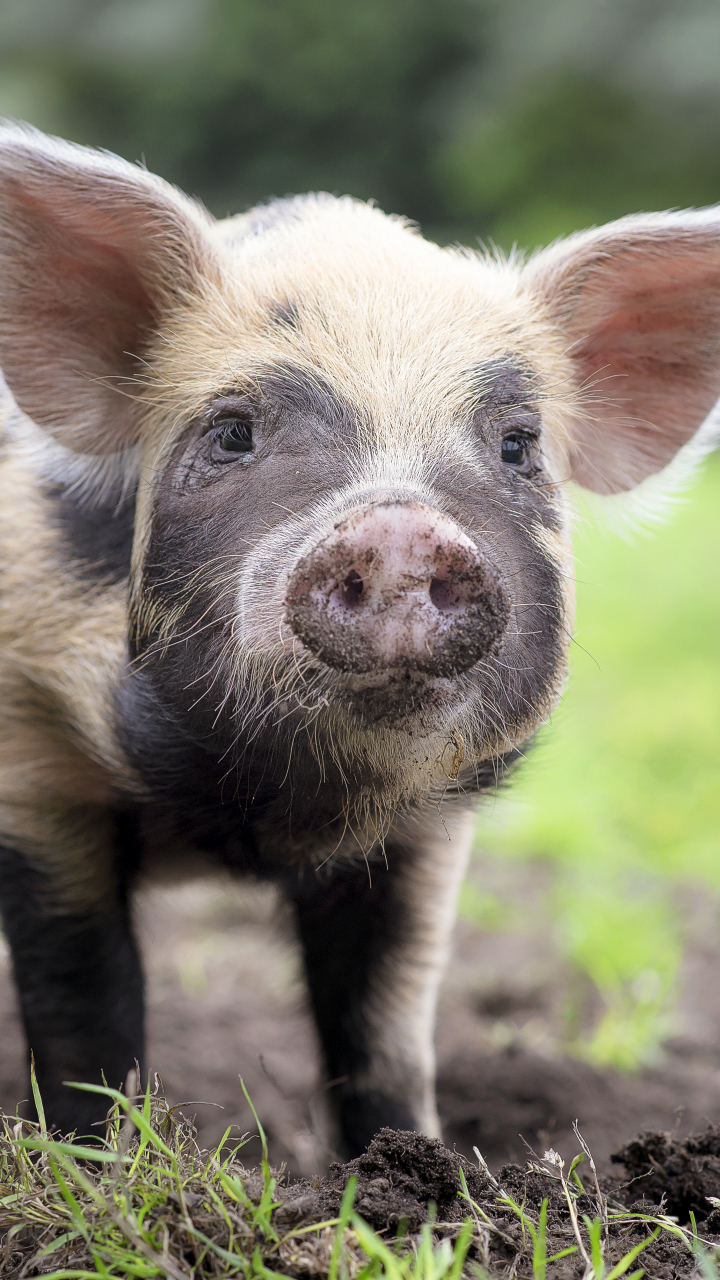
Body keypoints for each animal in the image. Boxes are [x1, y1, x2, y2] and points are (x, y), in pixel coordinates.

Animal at [0, 122, 718, 1155]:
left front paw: (410, 1166)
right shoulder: (32, 765)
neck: (264, 815)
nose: (398, 527)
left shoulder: (426, 838)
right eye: (233, 433)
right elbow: (82, 1008)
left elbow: (385, 1023)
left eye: (518, 445)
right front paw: (94, 1161)